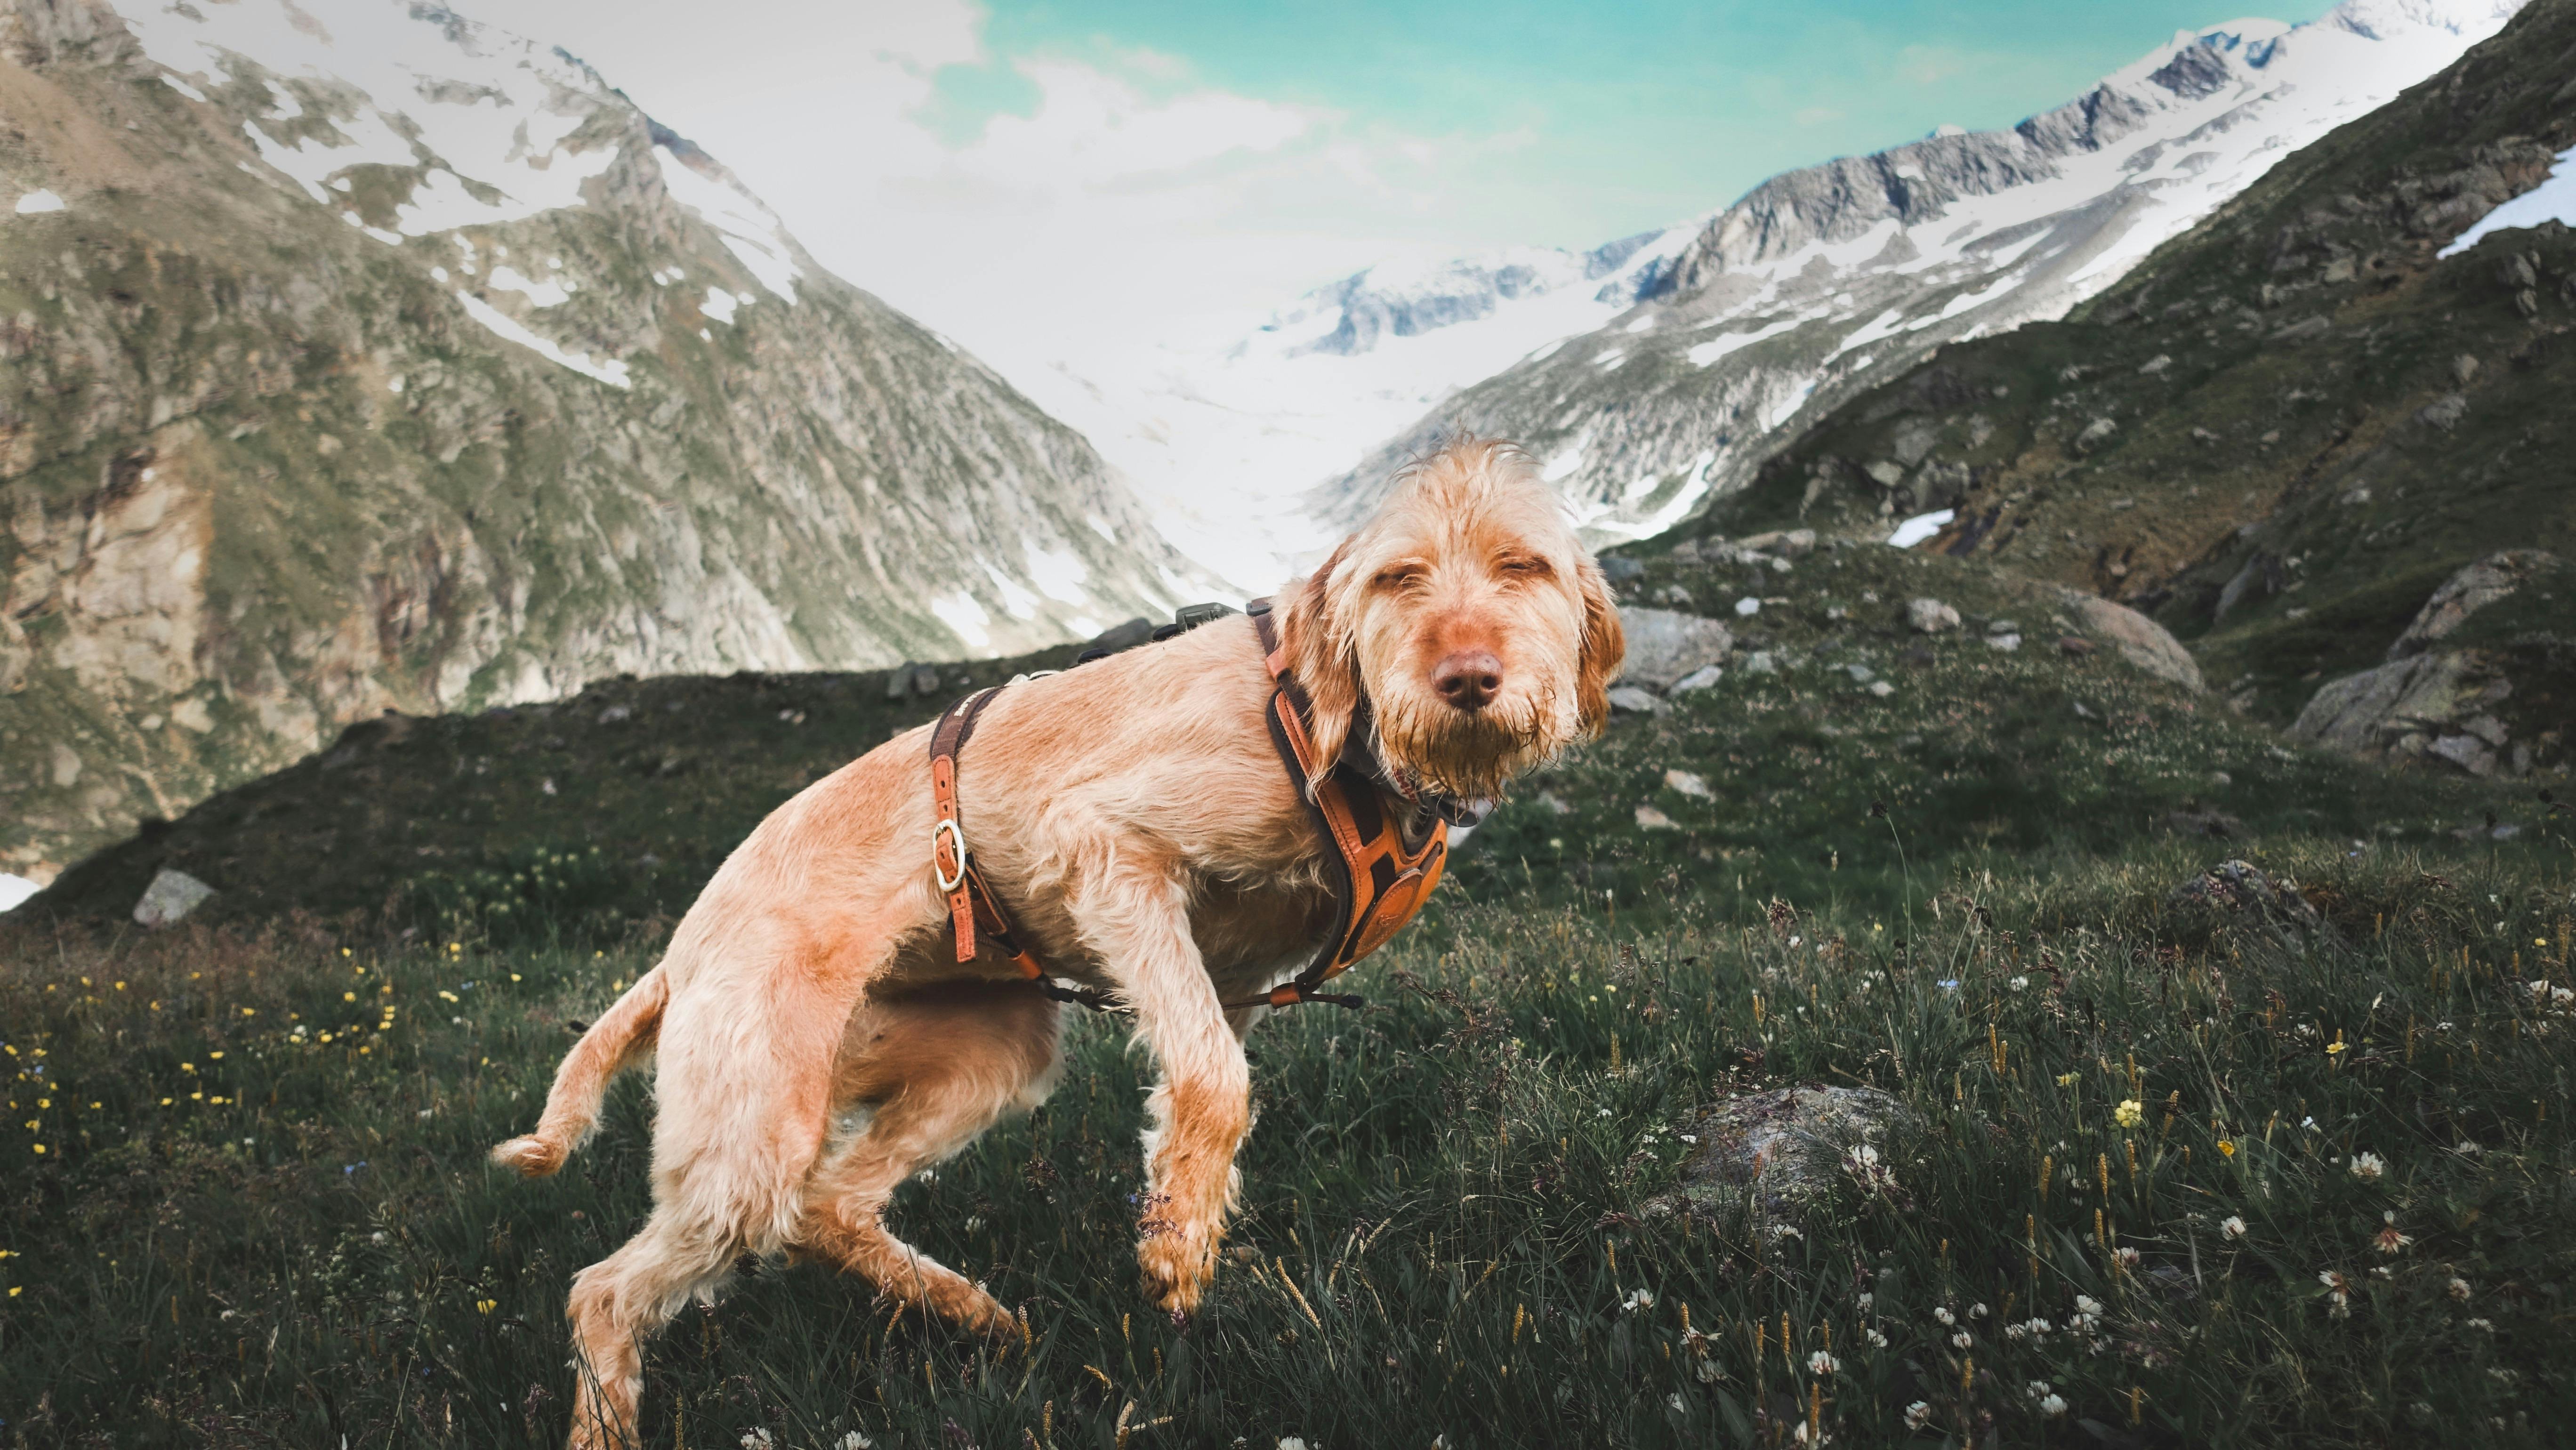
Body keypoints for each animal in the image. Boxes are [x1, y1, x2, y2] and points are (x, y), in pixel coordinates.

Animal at [489, 438, 1618, 1442]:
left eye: (1523, 566)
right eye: (1397, 577)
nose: (1467, 678)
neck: (1319, 720)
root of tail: (680, 952)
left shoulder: (1228, 974)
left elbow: (1201, 1070)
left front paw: (1179, 1208)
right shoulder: (1106, 844)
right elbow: (1215, 1074)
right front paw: (1178, 1249)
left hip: (983, 1051)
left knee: (831, 1205)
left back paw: (974, 1313)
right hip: (749, 1132)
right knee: (608, 1288)